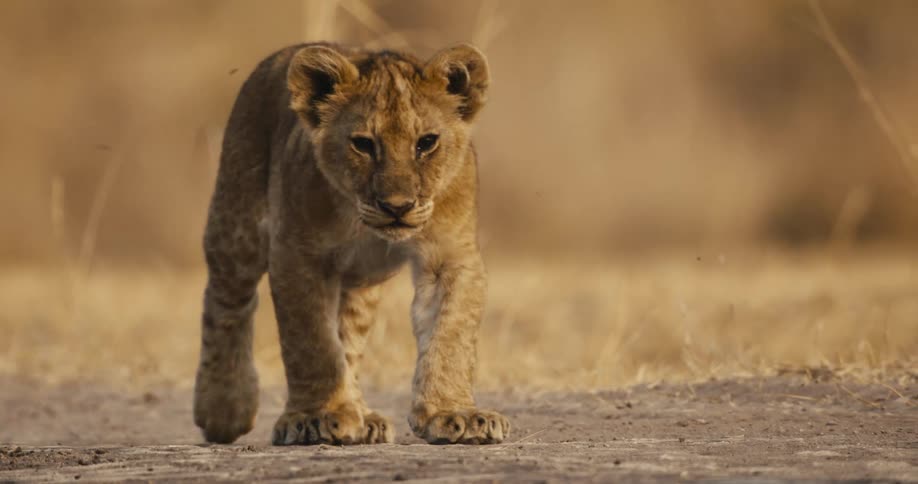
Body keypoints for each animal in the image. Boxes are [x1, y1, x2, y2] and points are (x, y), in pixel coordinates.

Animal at [192, 42, 510, 446]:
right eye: (363, 144)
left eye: (426, 143)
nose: (397, 206)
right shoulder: (297, 256)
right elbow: (312, 343)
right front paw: (317, 417)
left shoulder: (450, 256)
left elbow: (451, 335)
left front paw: (454, 413)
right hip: (236, 229)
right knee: (226, 304)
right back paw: (224, 409)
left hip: (359, 282)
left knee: (350, 339)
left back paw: (363, 416)